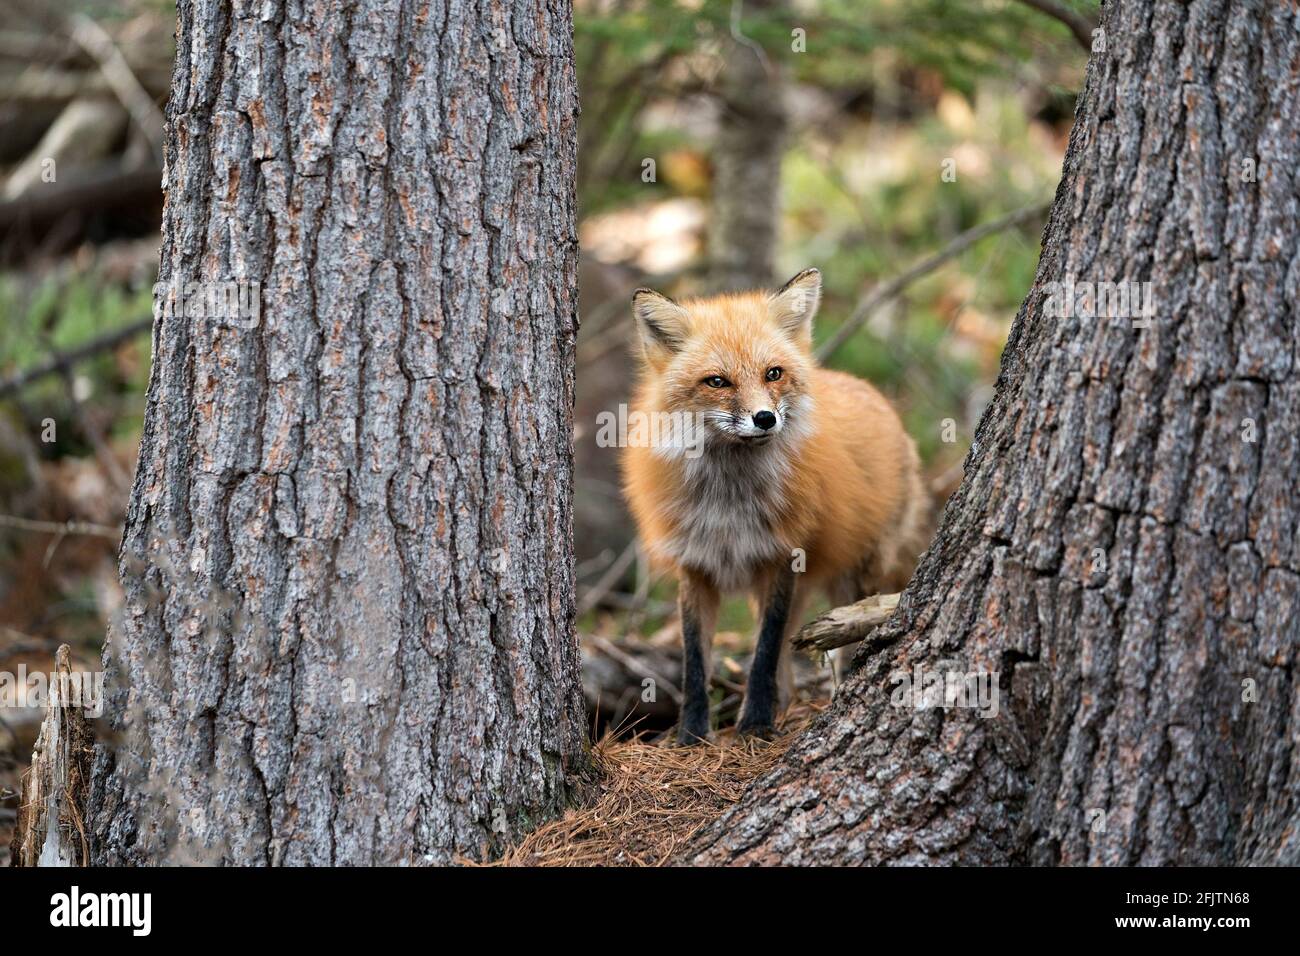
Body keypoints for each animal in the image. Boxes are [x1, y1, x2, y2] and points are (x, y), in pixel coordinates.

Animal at [618, 269, 925, 749]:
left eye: (773, 373)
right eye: (717, 381)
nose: (765, 418)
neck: (729, 500)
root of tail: (870, 390)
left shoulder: (781, 557)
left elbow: (763, 651)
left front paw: (756, 725)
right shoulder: (696, 566)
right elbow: (695, 661)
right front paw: (692, 735)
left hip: (857, 574)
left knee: (844, 639)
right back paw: (790, 704)